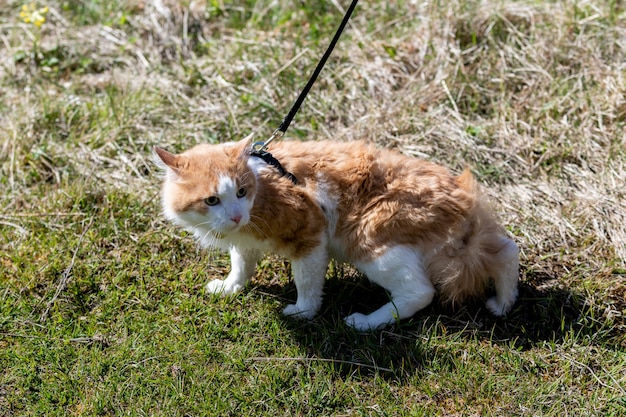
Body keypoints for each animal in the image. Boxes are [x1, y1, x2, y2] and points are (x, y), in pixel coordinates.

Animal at [155, 138, 516, 330]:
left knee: (420, 292)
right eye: (212, 200)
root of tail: (461, 197)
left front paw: (302, 312)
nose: (235, 215)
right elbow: (241, 266)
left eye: (242, 192)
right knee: (507, 249)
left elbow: (307, 283)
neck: (265, 184)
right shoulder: (245, 242)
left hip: (369, 240)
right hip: (465, 246)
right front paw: (230, 287)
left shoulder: (311, 234)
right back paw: (503, 303)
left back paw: (366, 322)